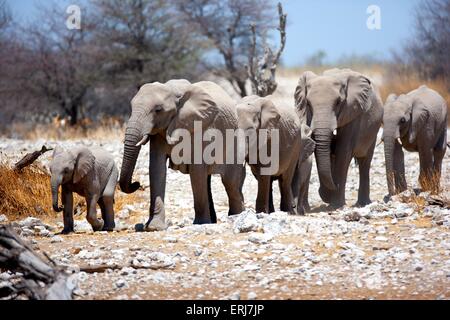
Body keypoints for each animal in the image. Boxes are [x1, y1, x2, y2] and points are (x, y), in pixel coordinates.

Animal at [118, 79, 246, 230]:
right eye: (131, 107)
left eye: (158, 110)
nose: (137, 183)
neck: (173, 91)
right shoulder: (160, 133)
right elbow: (156, 168)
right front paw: (154, 227)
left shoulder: (200, 126)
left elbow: (196, 170)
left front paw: (200, 223)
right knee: (208, 179)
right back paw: (215, 220)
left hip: (236, 142)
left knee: (230, 182)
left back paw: (236, 216)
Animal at [296, 68, 384, 208]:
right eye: (308, 103)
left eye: (338, 102)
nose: (334, 186)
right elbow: (319, 149)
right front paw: (329, 196)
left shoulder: (352, 111)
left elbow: (343, 152)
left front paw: (336, 204)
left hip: (373, 130)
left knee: (365, 161)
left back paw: (363, 203)